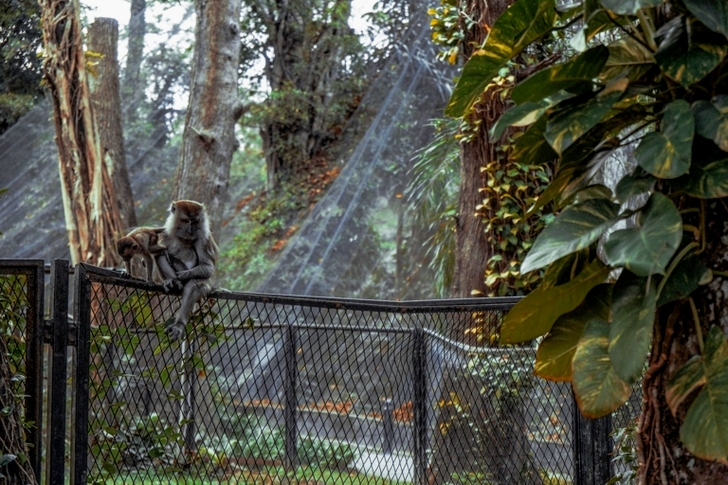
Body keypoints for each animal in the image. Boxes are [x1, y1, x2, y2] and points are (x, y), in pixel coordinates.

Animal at [155, 200, 219, 341]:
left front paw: (183, 275)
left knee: (195, 285)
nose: (190, 232)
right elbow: (158, 252)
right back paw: (173, 282)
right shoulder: (164, 234)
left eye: (194, 222)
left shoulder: (203, 238)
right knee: (161, 254)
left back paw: (179, 324)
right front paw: (173, 279)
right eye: (186, 221)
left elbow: (207, 267)